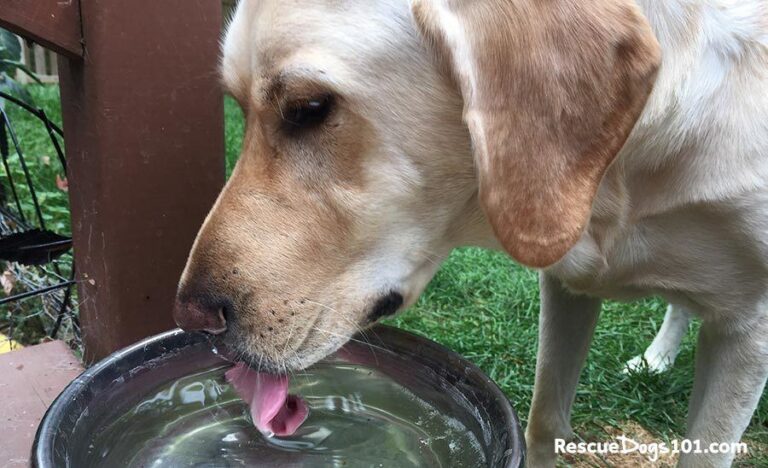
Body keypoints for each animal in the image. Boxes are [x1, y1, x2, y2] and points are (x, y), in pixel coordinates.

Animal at [174, 1, 768, 466]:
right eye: (238, 107)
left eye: (309, 108)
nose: (191, 317)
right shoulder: (567, 287)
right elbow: (544, 423)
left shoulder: (747, 332)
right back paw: (657, 357)